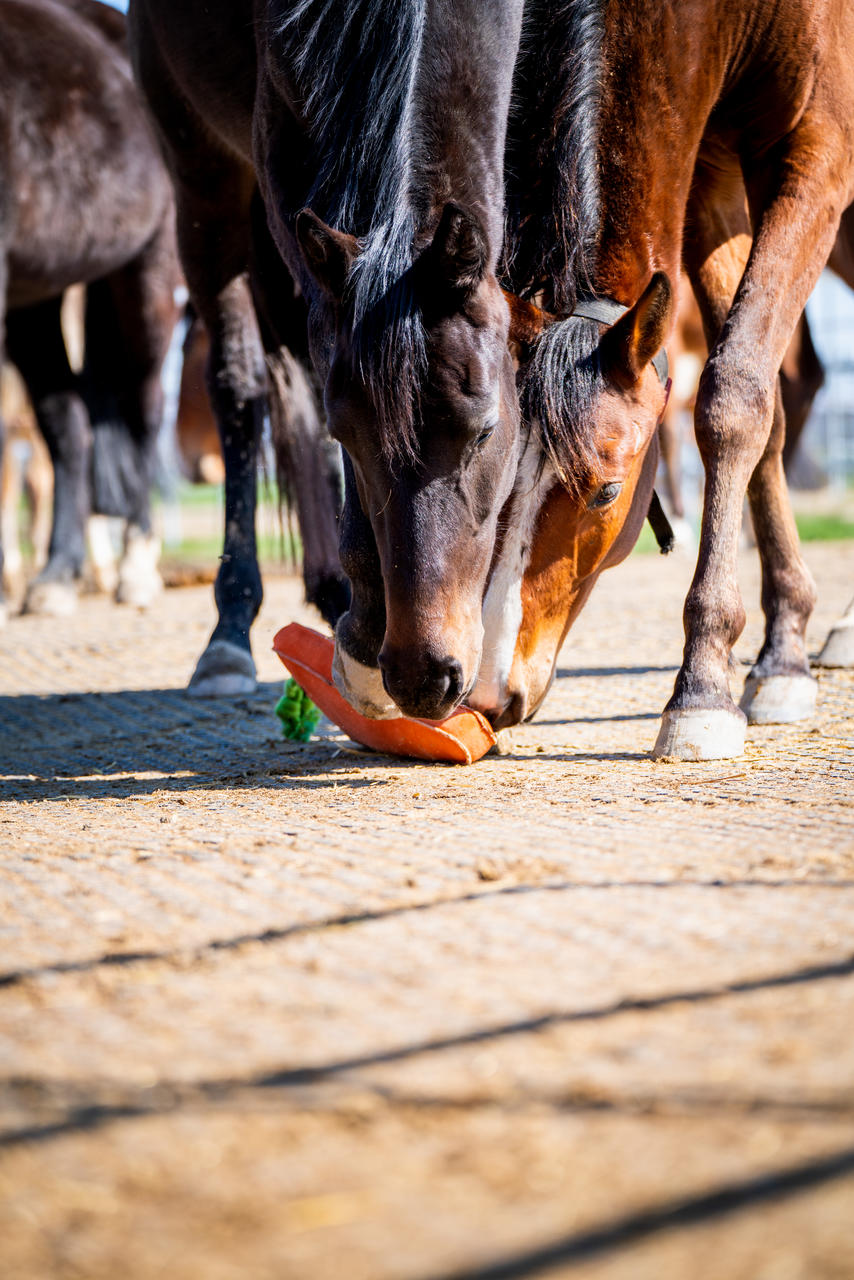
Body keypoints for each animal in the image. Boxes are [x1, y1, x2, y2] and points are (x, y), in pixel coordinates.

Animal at [0, 0, 182, 620]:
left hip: (148, 272)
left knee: (144, 410)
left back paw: (136, 568)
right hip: (35, 296)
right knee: (70, 425)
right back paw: (56, 575)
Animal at [129, 0, 526, 706]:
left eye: (484, 433)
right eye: (351, 435)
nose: (424, 676)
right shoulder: (282, 163)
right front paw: (364, 627)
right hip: (202, 178)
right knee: (244, 385)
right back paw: (235, 629)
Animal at [458, 0, 854, 759]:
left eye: (608, 491)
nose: (489, 692)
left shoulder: (816, 150)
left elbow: (733, 398)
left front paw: (701, 686)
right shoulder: (708, 172)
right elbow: (765, 408)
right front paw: (782, 650)